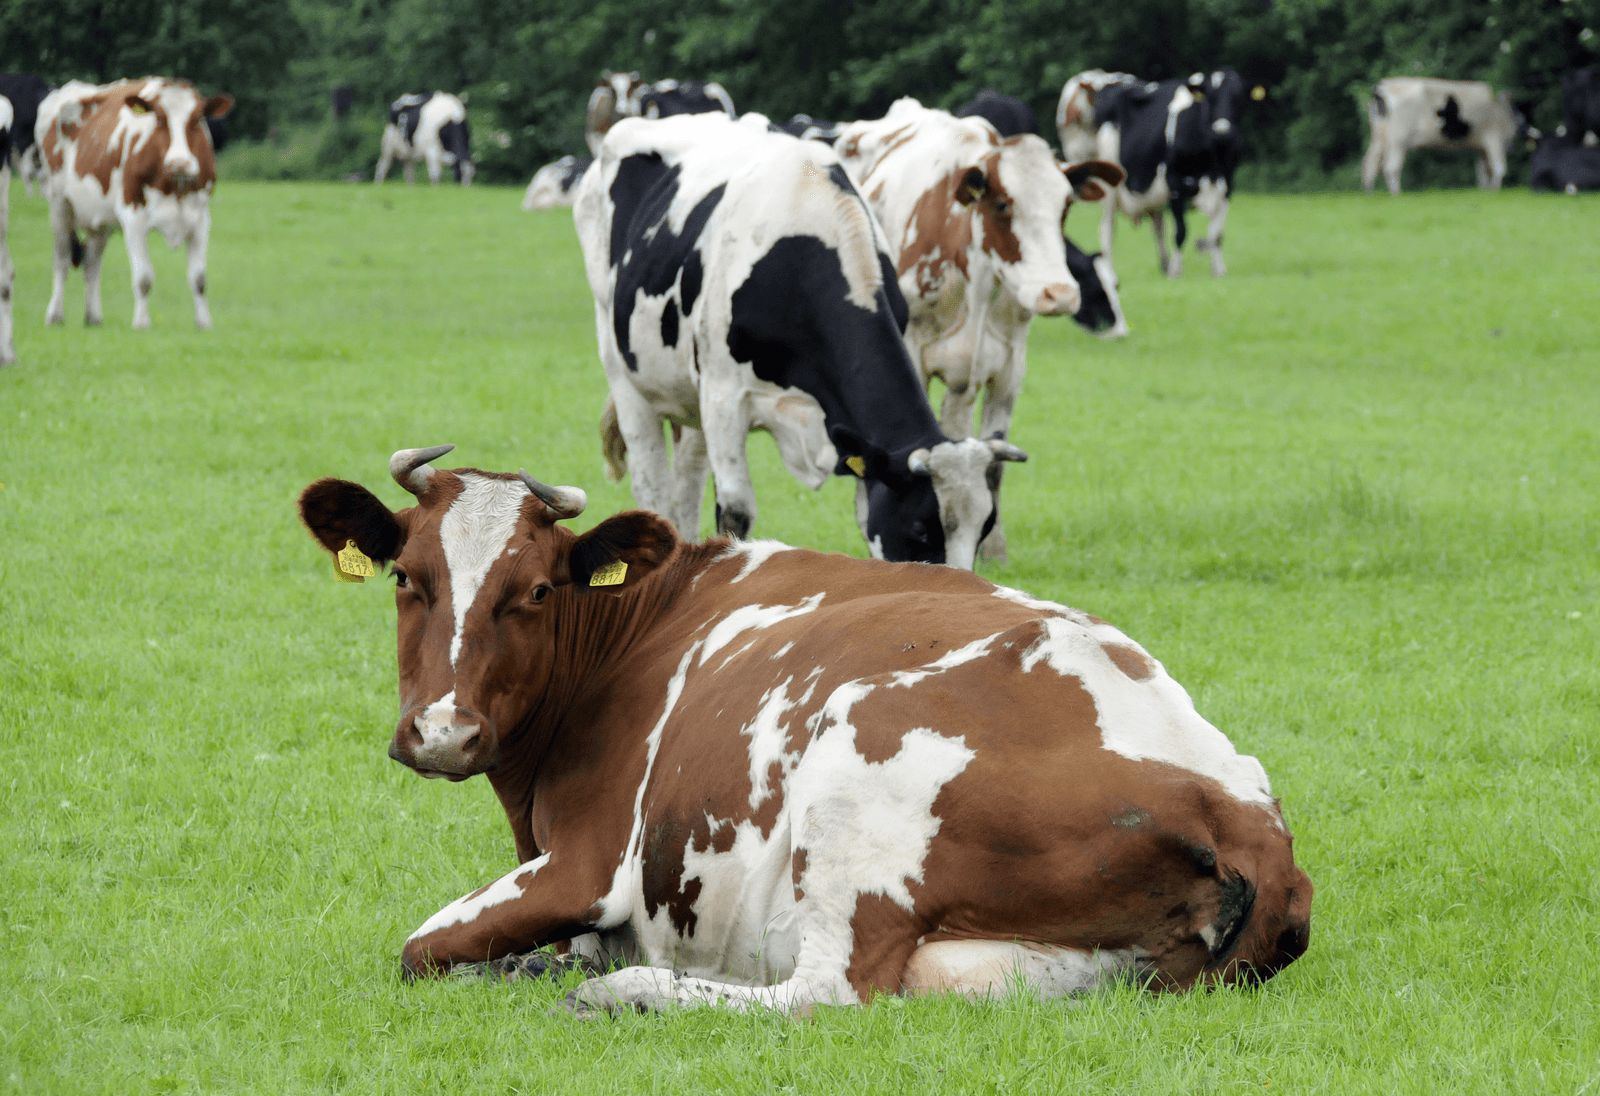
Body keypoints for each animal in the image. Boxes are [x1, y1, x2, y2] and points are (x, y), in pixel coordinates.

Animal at [37, 77, 233, 330]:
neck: (173, 185)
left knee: (92, 262)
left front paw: (204, 322)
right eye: (159, 118)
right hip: (59, 204)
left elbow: (199, 278)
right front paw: (141, 323)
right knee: (61, 261)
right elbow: (143, 278)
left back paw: (93, 317)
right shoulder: (133, 218)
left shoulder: (200, 218)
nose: (179, 162)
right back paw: (55, 315)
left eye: (197, 118)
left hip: (98, 219)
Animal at [297, 446, 1314, 1013]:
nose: (443, 733)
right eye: (406, 578)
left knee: (823, 992)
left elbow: (421, 949)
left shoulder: (590, 862)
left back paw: (620, 993)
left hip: (858, 760)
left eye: (538, 590)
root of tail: (1243, 816)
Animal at [578, 111, 1024, 570]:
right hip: (626, 375)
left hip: (687, 394)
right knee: (652, 487)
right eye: (920, 529)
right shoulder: (723, 396)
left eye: (984, 528)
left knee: (687, 480)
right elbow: (735, 512)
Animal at [1080, 69, 1247, 279]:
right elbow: (1181, 231)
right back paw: (1109, 272)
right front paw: (1176, 272)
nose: (1223, 131)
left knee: (1157, 226)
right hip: (1109, 185)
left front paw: (1218, 270)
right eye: (1210, 97)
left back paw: (1164, 265)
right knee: (1108, 228)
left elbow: (1216, 234)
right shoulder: (1175, 183)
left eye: (1238, 98)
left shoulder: (1227, 185)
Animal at [1361, 78, 1521, 195]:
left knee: (1370, 163)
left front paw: (1485, 192)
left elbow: (1483, 172)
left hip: (1379, 140)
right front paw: (1495, 191)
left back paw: (1369, 193)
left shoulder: (1481, 147)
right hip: (1397, 142)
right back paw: (1396, 193)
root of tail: (1383, 86)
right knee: (1391, 167)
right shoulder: (1495, 140)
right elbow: (1499, 168)